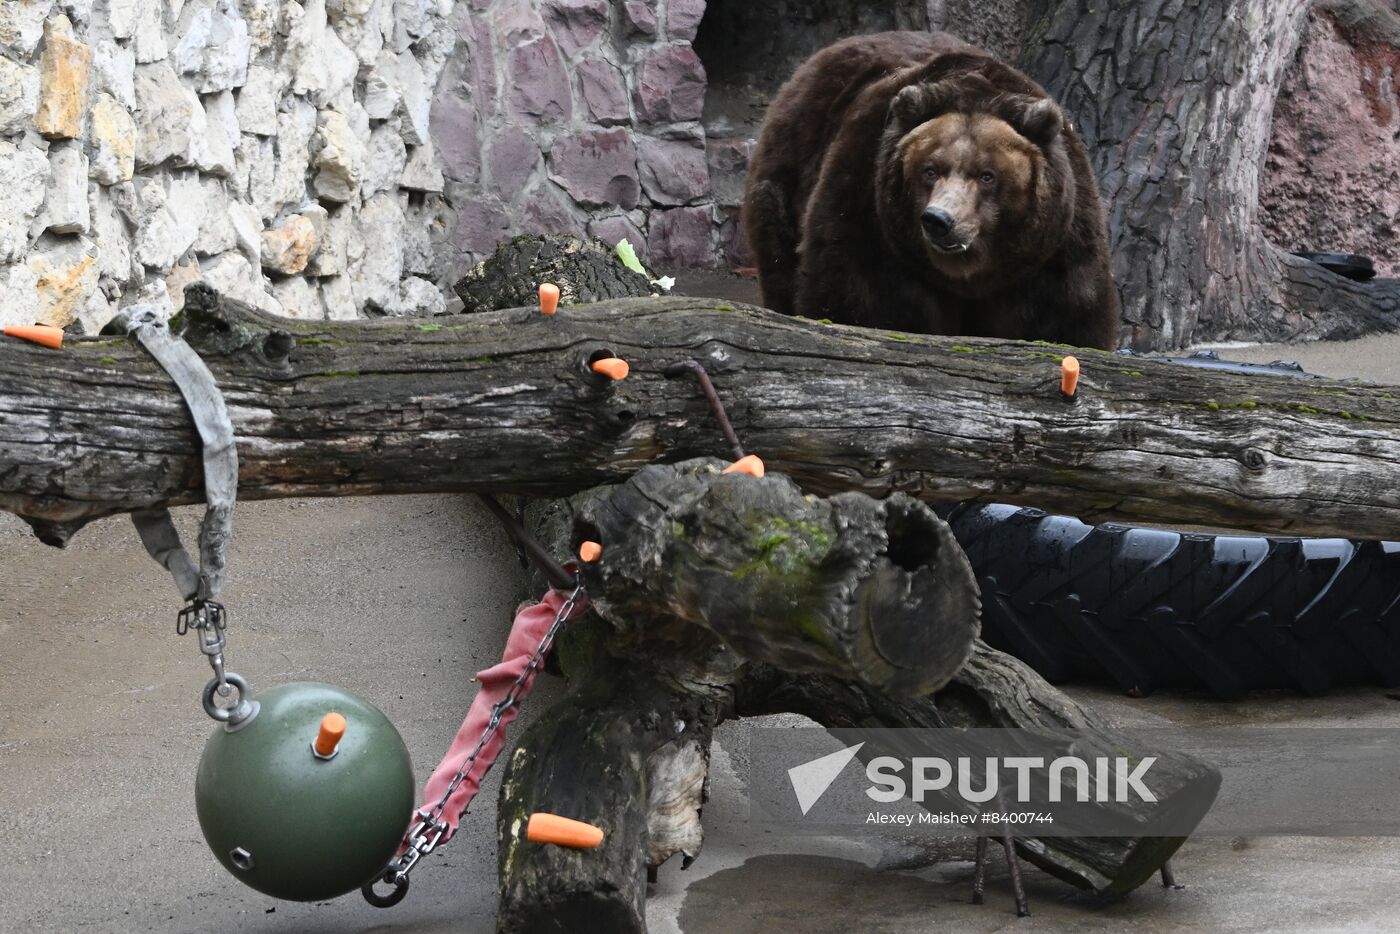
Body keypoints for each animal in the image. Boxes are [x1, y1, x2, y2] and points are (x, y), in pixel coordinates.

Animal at [750, 32, 1120, 350]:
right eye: (930, 170)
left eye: (987, 175)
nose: (939, 220)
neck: (970, 276)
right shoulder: (869, 217)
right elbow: (856, 301)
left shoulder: (1052, 253)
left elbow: (1066, 320)